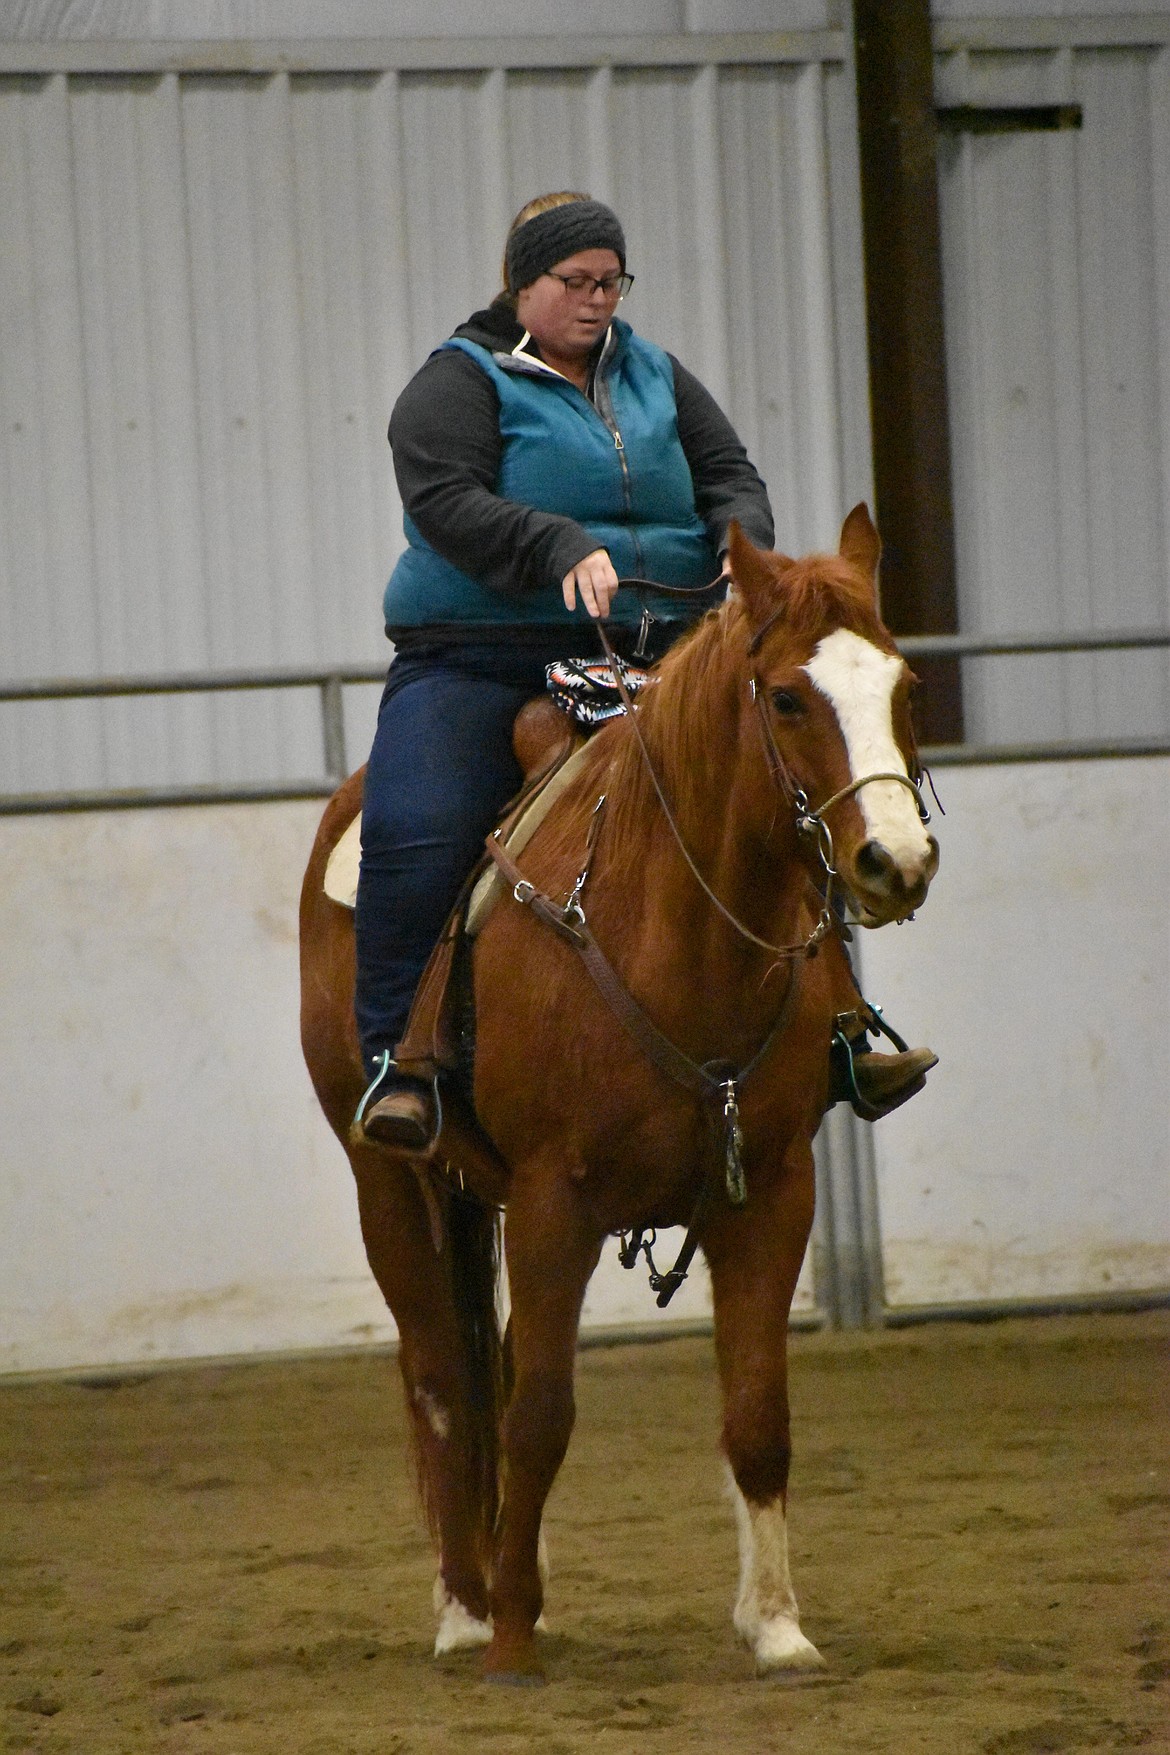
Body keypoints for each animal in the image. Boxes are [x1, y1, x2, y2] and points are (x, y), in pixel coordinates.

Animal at [301, 512, 940, 1684]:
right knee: (444, 1379)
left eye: (905, 685)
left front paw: (775, 1627)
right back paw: (467, 1608)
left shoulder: (772, 1191)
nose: (897, 861)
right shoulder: (557, 1203)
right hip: (389, 1180)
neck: (667, 931)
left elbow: (757, 1415)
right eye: (788, 696)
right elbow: (540, 1414)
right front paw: (512, 1636)